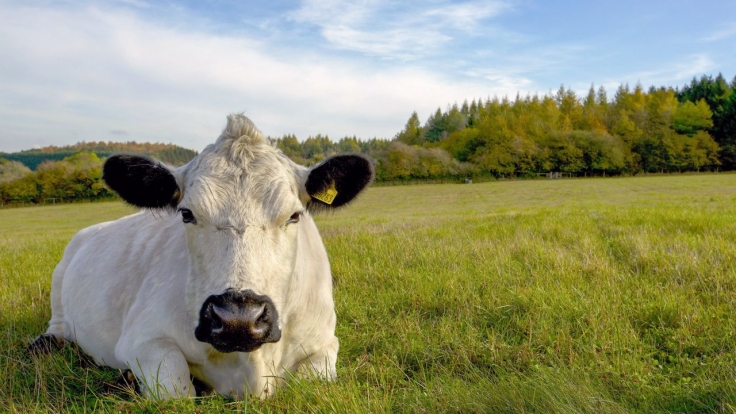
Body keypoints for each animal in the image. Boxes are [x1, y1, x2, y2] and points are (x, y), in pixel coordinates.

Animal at [28, 113, 374, 398]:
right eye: (186, 214)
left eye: (294, 215)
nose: (238, 320)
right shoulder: (143, 339)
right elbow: (176, 392)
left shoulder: (325, 343)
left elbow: (313, 384)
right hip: (60, 282)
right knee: (57, 328)